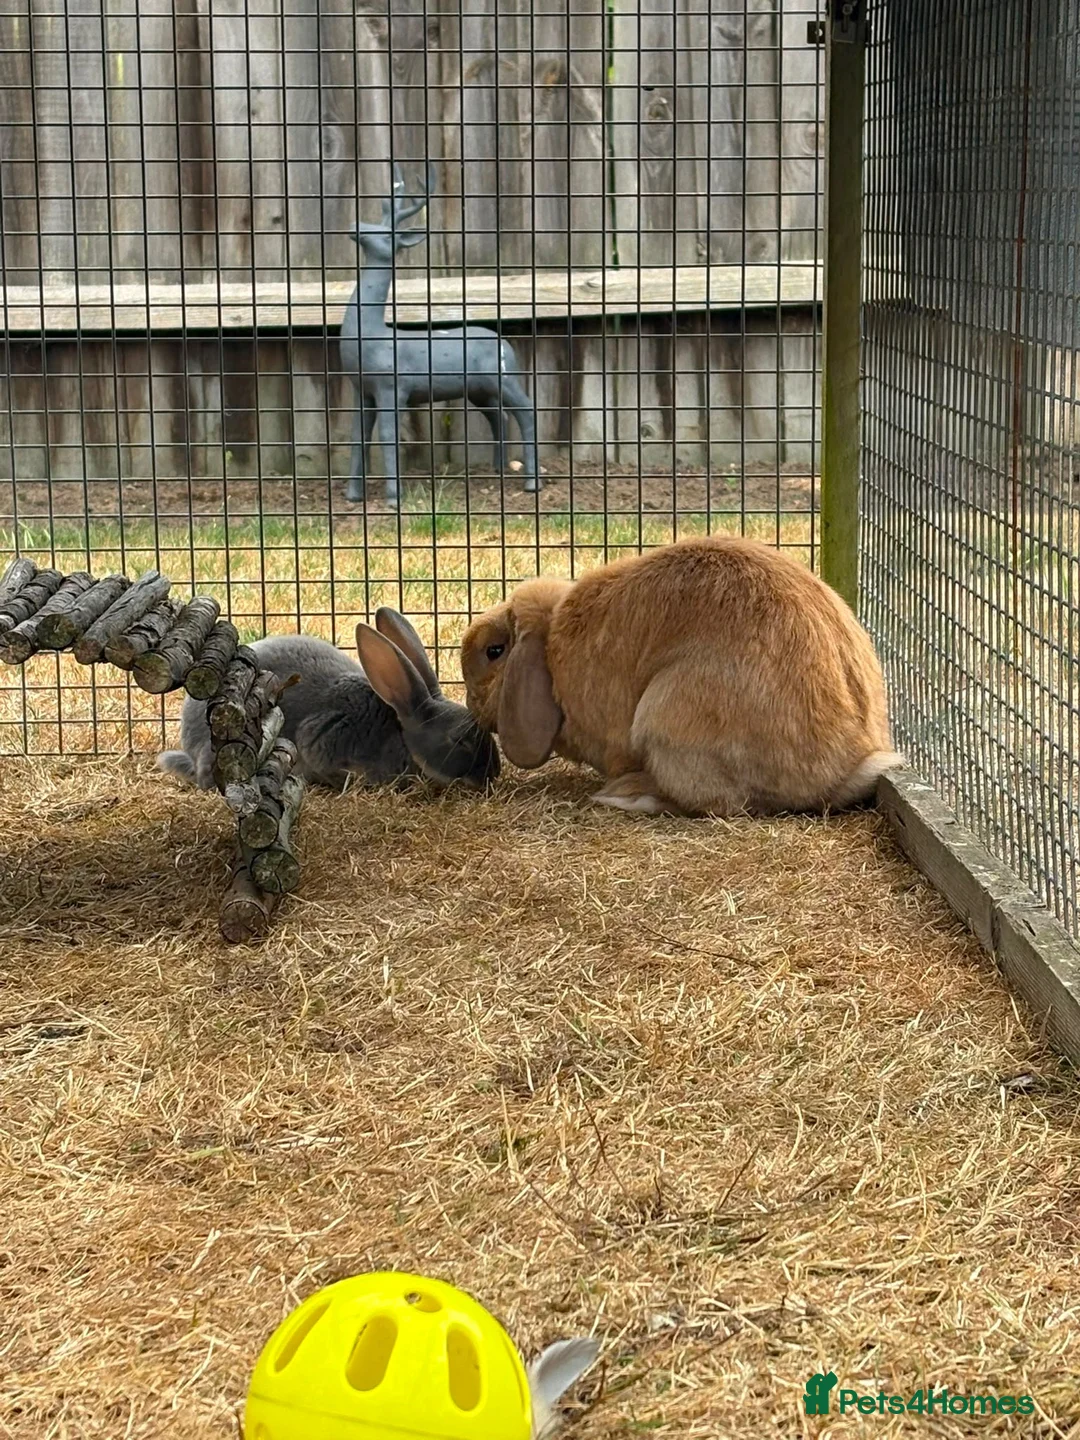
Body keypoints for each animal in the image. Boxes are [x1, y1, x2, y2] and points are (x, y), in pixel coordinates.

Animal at [460, 534, 903, 817]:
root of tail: (845, 769)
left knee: (722, 805)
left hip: (667, 719)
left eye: (494, 652)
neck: (552, 647)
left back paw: (625, 796)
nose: (469, 704)